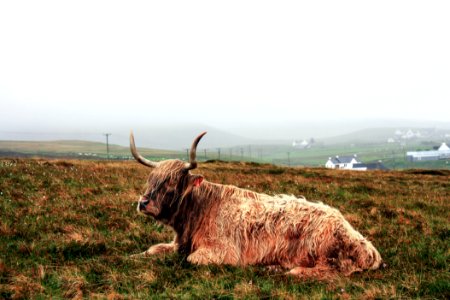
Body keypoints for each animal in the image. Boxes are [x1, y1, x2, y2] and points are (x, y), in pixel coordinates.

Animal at [129, 131, 380, 278]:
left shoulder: (222, 251)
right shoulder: (180, 243)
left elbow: (191, 259)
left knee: (334, 269)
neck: (198, 213)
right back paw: (273, 266)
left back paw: (290, 270)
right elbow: (153, 249)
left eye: (171, 183)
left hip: (323, 248)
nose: (143, 203)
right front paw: (133, 257)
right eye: (151, 179)